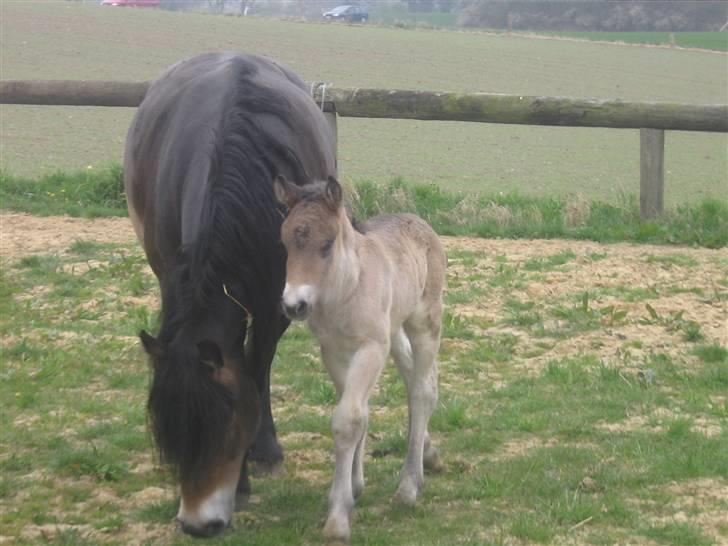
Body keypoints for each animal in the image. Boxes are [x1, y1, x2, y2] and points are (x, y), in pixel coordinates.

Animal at [124, 51, 336, 536]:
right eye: (171, 434)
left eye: (224, 428)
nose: (197, 525)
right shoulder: (172, 277)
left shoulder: (277, 302)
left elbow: (256, 370)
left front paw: (256, 460)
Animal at [272, 176, 444, 540]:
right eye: (285, 243)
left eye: (327, 244)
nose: (295, 305)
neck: (345, 289)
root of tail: (417, 220)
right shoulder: (334, 352)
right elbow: (358, 414)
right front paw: (354, 486)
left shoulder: (370, 349)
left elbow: (347, 420)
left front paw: (338, 518)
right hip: (393, 331)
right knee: (414, 380)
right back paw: (426, 456)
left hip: (424, 322)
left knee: (422, 391)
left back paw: (409, 486)